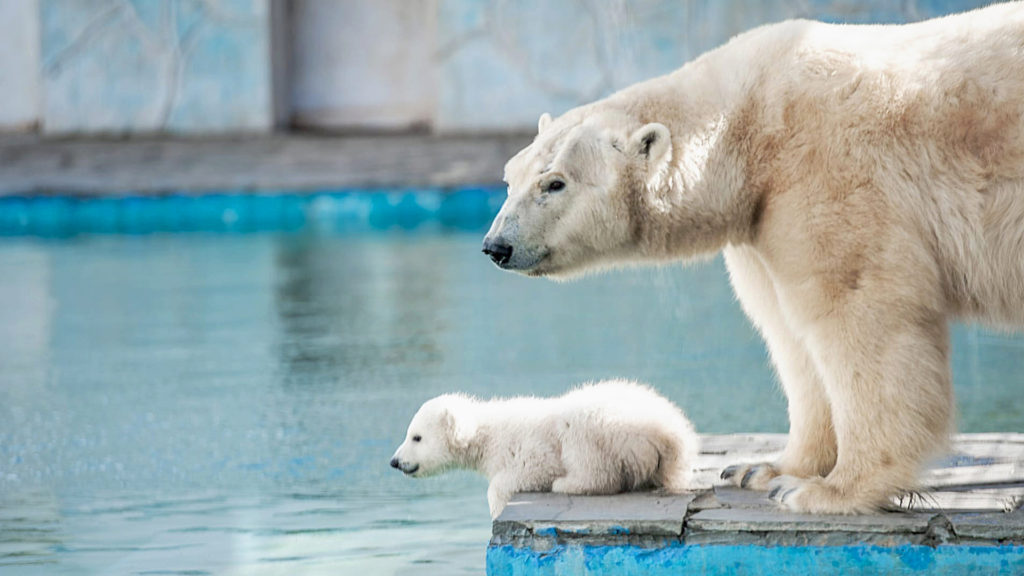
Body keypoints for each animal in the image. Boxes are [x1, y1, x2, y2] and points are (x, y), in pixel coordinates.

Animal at [389, 379, 698, 519]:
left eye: (416, 437)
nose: (394, 461)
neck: (488, 433)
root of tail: (671, 435)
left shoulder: (530, 446)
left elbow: (525, 471)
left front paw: (497, 506)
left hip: (606, 428)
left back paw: (568, 483)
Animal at [481, 3, 1024, 514]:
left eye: (555, 183)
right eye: (510, 177)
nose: (496, 247)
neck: (751, 123)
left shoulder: (828, 173)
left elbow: (859, 311)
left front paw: (828, 491)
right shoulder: (763, 215)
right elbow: (789, 332)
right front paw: (765, 470)